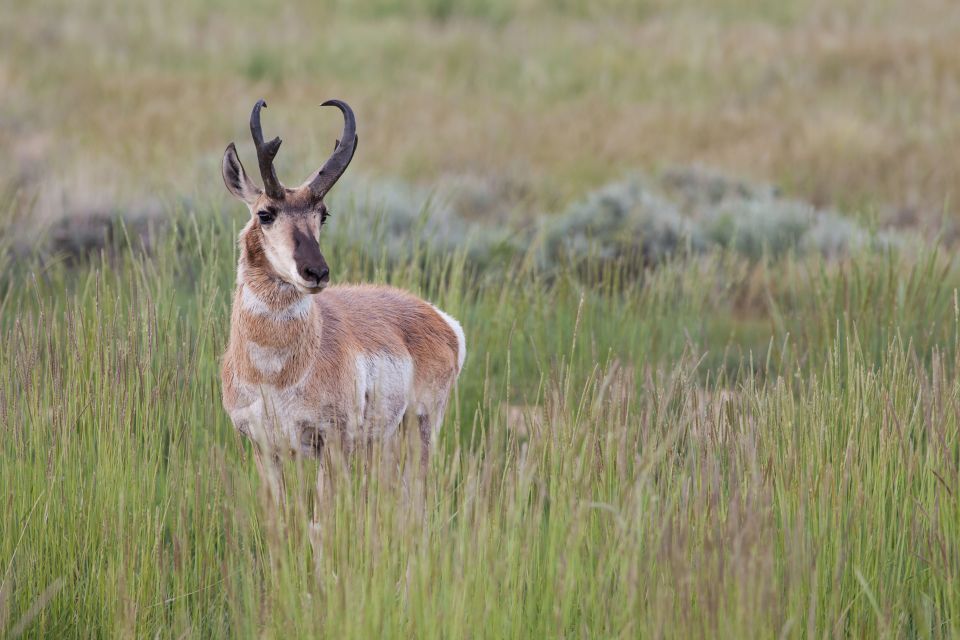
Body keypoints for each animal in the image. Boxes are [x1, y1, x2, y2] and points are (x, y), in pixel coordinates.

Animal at [222, 99, 468, 496]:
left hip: (419, 428)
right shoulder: (264, 448)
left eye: (323, 214)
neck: (276, 374)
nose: (317, 272)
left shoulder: (332, 443)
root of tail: (439, 317)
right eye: (265, 213)